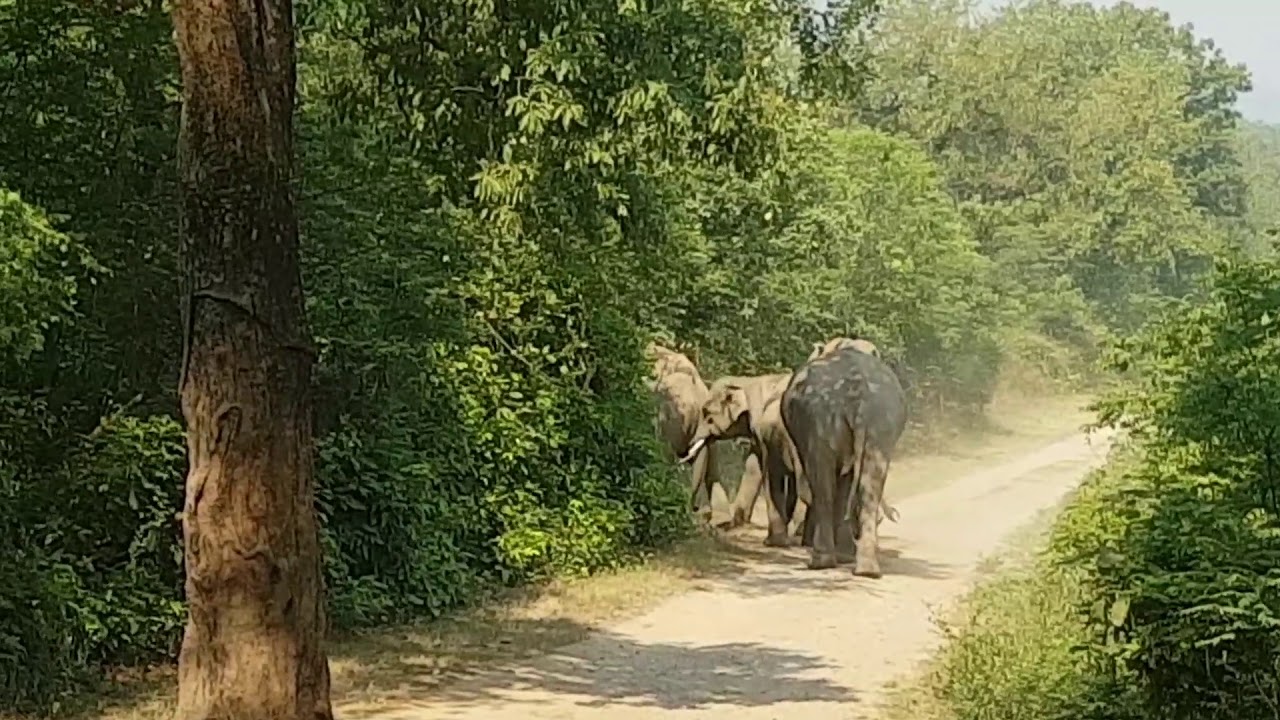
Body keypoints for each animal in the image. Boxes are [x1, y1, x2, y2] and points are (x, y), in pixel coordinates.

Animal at [780, 341, 908, 577]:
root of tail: (859, 391)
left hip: (821, 419)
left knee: (823, 484)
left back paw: (823, 561)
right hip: (880, 420)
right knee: (869, 483)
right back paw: (865, 569)